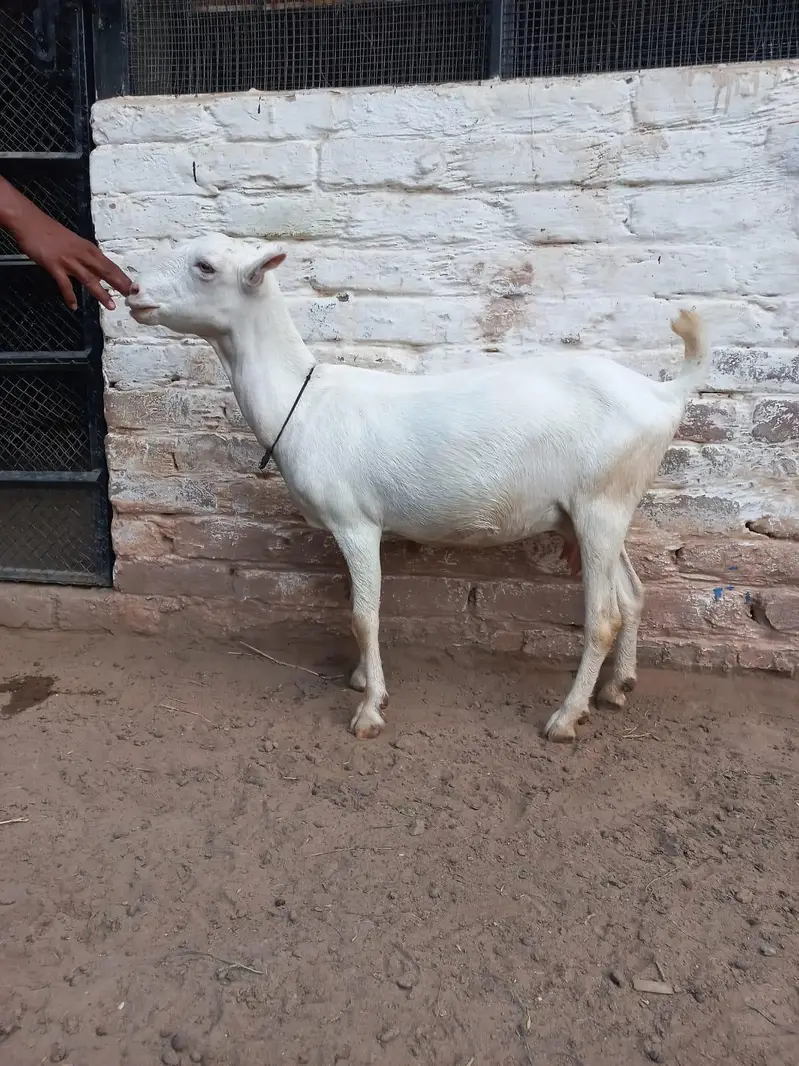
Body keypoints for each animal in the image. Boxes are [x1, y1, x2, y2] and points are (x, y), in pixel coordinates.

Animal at [126, 234, 710, 742]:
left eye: (205, 266)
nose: (132, 292)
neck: (304, 398)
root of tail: (664, 393)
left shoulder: (355, 521)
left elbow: (363, 616)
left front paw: (369, 710)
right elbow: (357, 606)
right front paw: (363, 681)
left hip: (599, 504)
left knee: (604, 617)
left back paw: (566, 718)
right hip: (606, 507)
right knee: (632, 595)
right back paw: (616, 689)